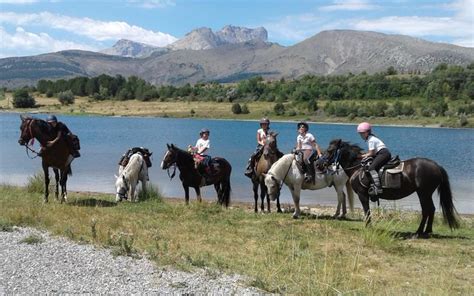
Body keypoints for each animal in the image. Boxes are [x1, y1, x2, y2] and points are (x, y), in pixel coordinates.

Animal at [318, 139, 460, 238]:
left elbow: (367, 211)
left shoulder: (362, 194)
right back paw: (425, 231)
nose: (319, 164)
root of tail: (436, 166)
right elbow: (367, 211)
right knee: (430, 210)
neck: (357, 167)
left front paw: (368, 227)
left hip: (424, 193)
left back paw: (420, 232)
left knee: (427, 210)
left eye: (330, 151)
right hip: (425, 193)